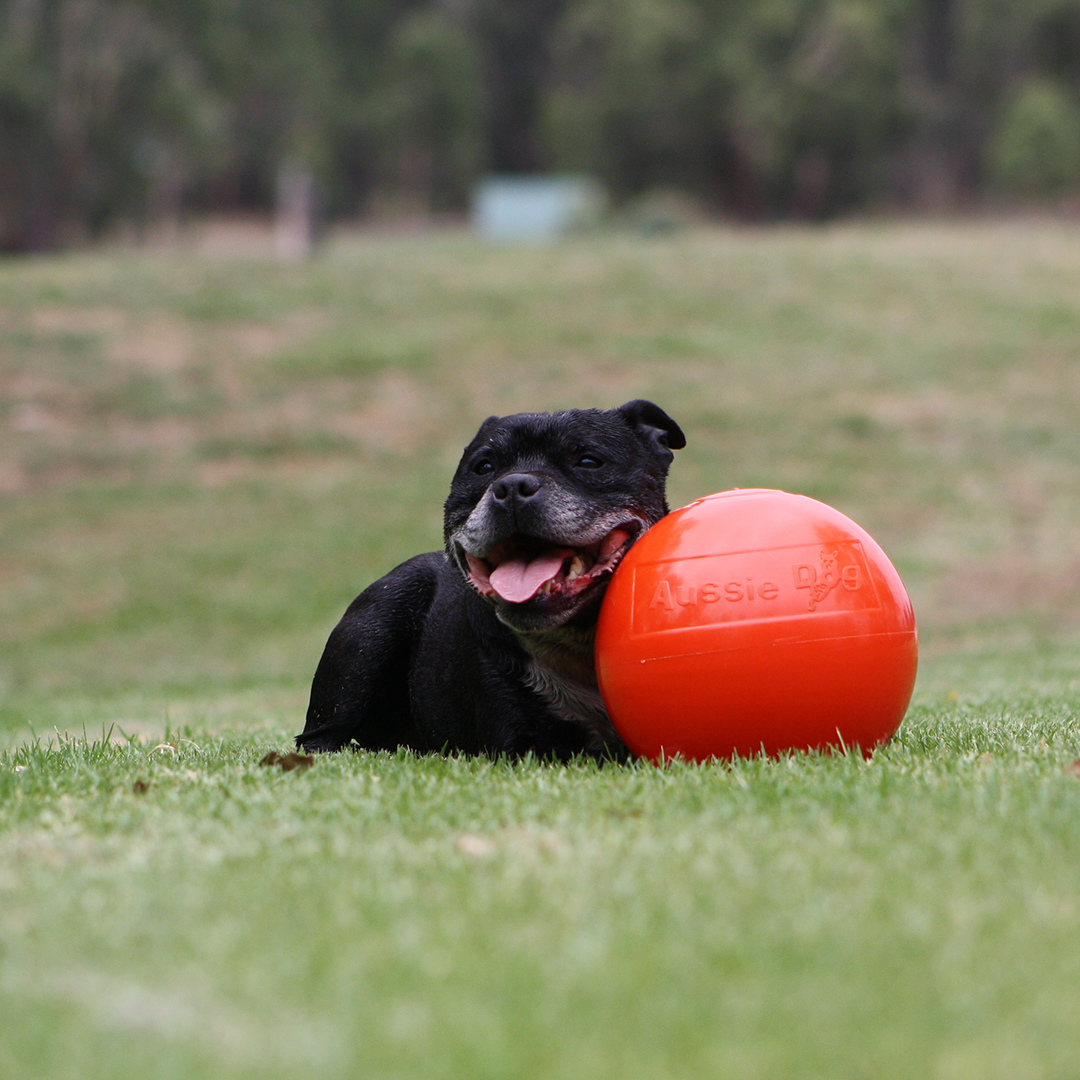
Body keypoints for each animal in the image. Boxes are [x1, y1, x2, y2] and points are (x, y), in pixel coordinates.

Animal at [295, 401, 682, 764]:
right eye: (483, 467)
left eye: (588, 461)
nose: (513, 485)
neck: (574, 641)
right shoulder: (522, 745)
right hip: (370, 631)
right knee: (320, 737)